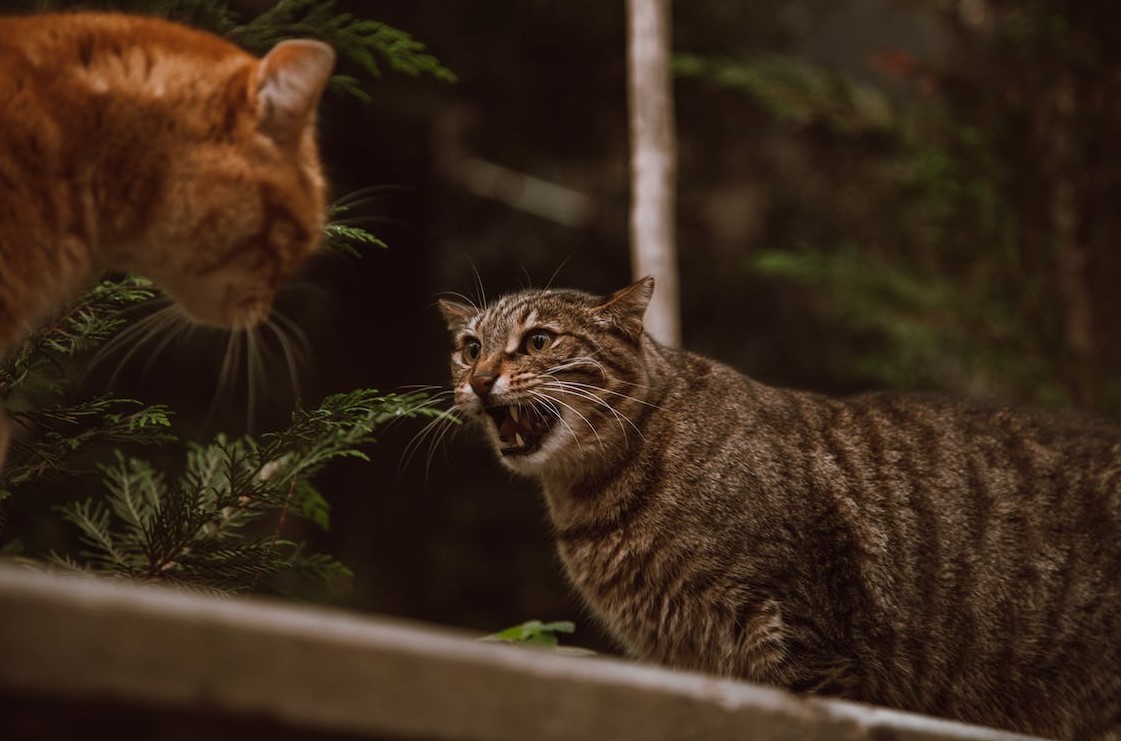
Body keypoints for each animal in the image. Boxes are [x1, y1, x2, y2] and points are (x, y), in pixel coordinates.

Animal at [441, 274, 1121, 735]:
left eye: (538, 340)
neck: (593, 502)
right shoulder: (686, 664)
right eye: (470, 347)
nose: (479, 380)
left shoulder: (798, 641)